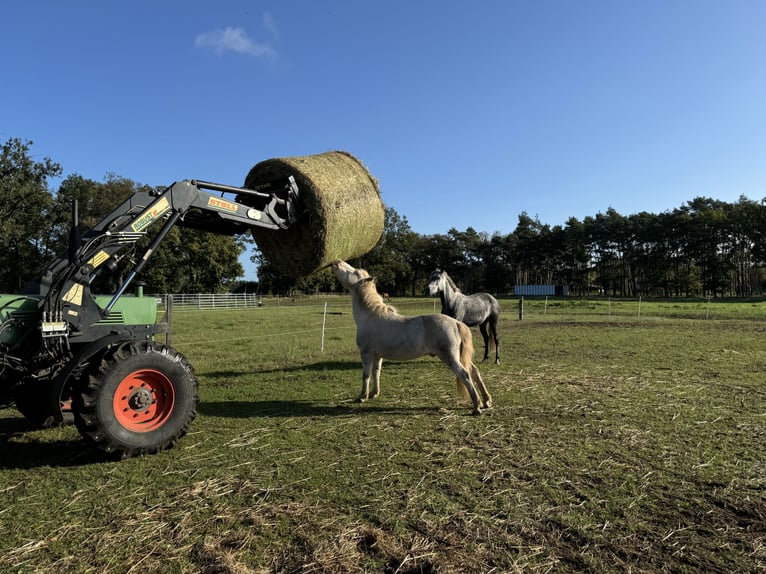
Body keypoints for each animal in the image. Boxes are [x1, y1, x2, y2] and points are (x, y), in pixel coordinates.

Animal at [332, 262, 492, 418]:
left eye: (354, 271)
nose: (336, 262)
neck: (371, 316)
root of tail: (456, 323)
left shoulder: (366, 354)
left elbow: (365, 375)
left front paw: (362, 397)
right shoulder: (377, 356)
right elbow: (376, 373)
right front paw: (373, 394)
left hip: (451, 358)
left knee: (465, 375)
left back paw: (476, 407)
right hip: (459, 356)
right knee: (474, 371)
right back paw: (486, 401)